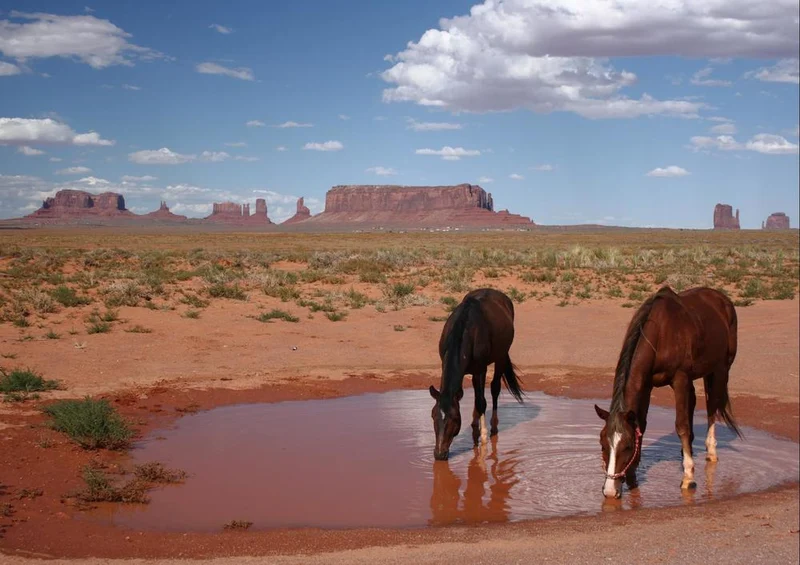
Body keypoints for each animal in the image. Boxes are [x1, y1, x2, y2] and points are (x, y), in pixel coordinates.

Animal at [429, 288, 524, 461]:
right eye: (433, 415)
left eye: (454, 418)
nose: (439, 454)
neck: (466, 330)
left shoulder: (481, 369)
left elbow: (482, 401)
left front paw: (484, 437)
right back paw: (475, 423)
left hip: (500, 357)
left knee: (494, 389)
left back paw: (493, 425)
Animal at [594, 285, 742, 499]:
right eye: (603, 444)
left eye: (627, 446)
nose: (610, 491)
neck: (660, 334)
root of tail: (722, 299)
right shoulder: (647, 384)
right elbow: (642, 424)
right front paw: (632, 476)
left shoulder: (679, 379)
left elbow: (681, 425)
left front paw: (688, 477)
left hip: (720, 369)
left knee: (711, 405)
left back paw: (710, 452)